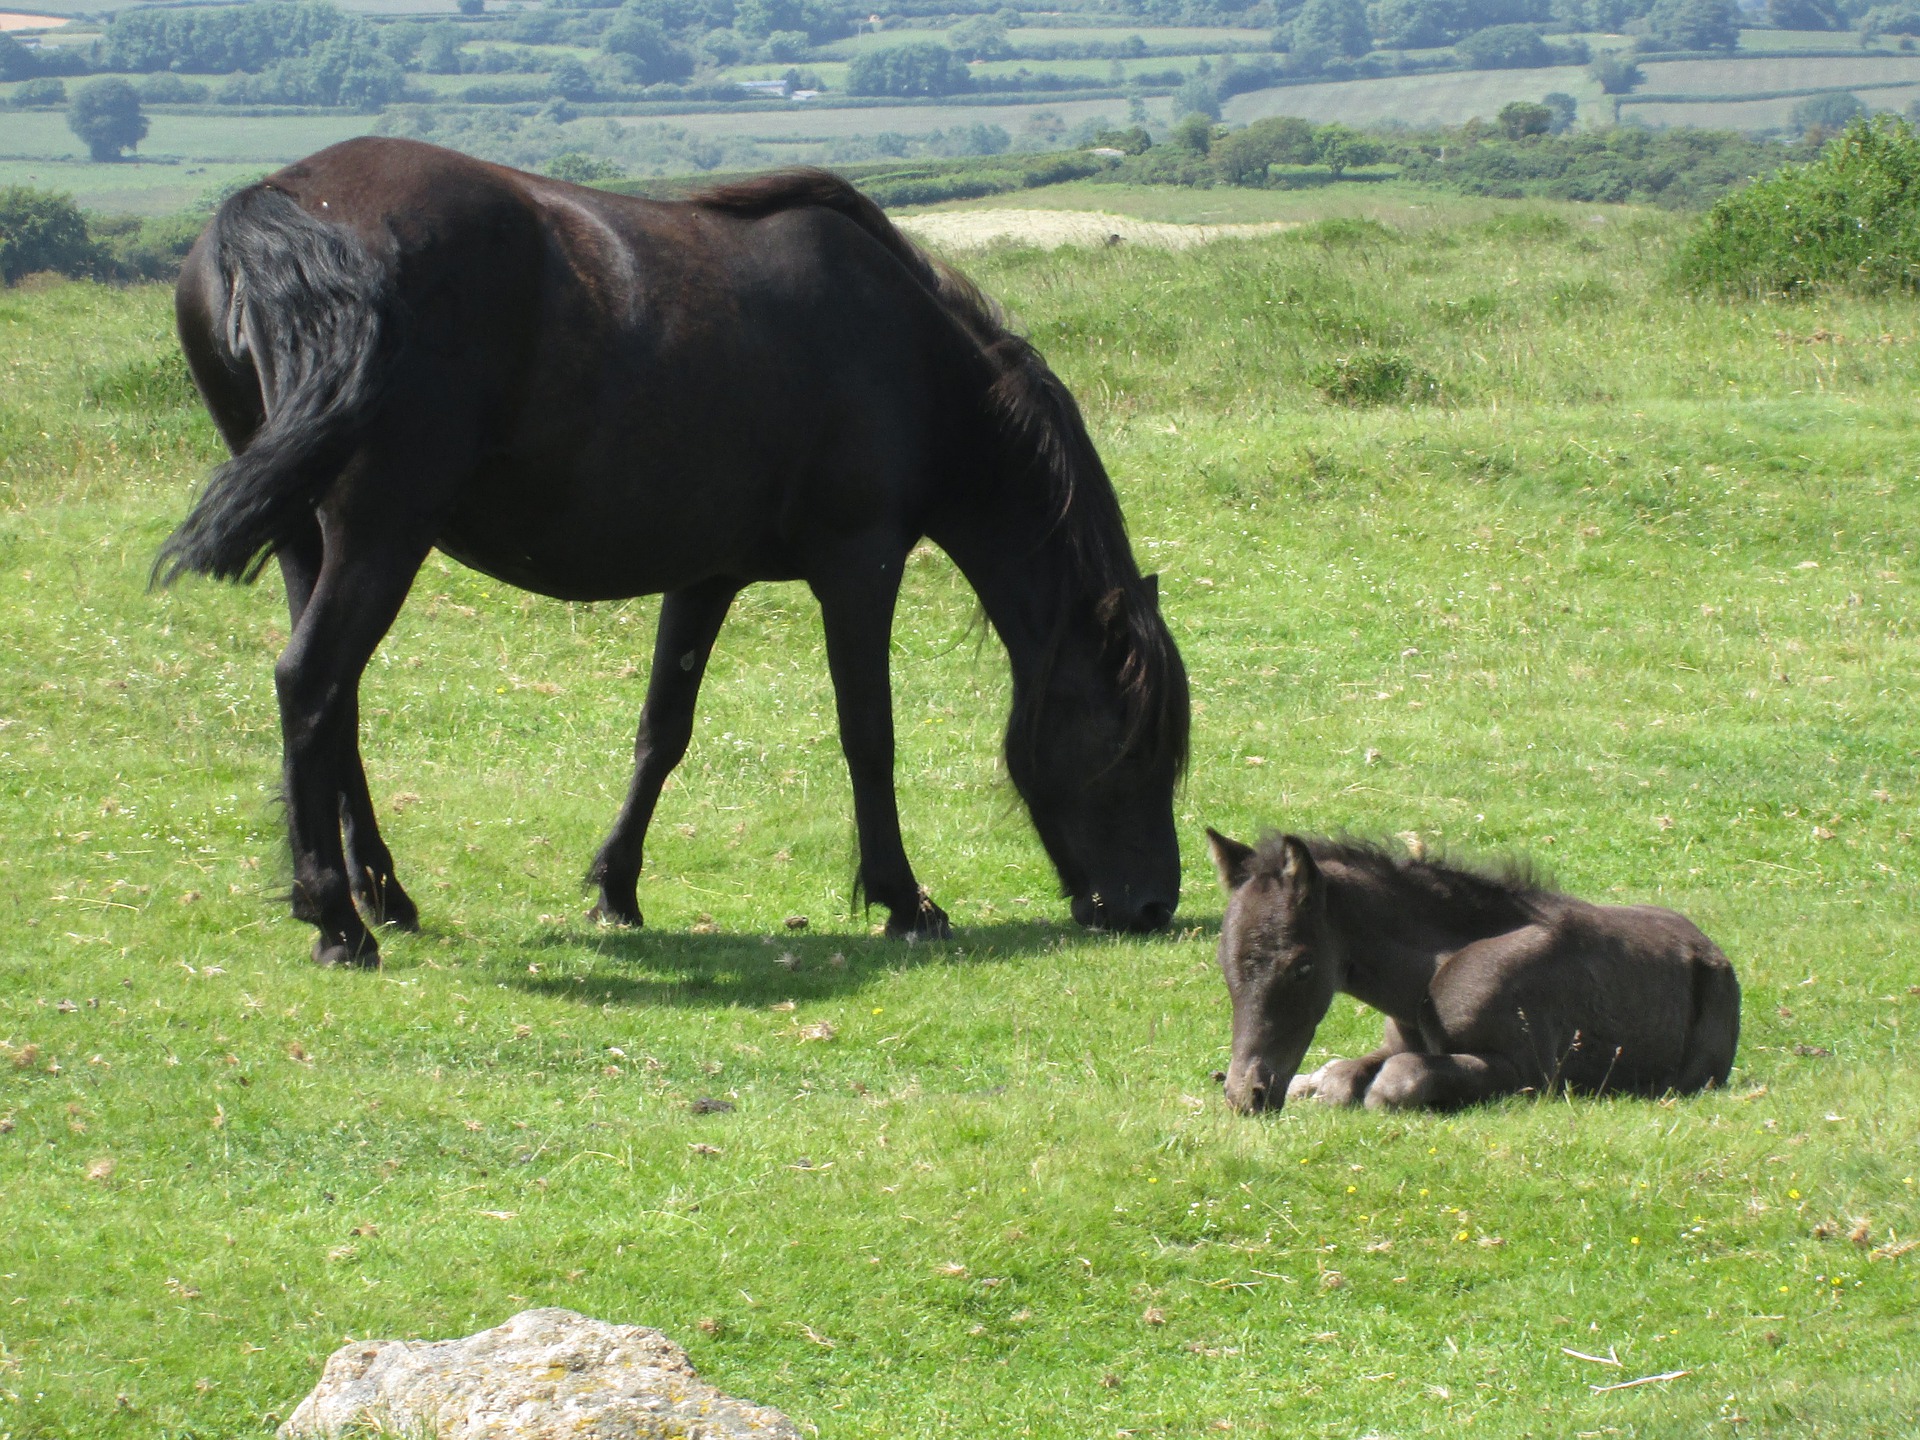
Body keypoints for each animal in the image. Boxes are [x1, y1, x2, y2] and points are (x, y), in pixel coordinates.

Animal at [155, 137, 1189, 968]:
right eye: (1132, 743)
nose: (1151, 906)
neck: (908, 354)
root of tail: (282, 203)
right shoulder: (859, 567)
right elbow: (869, 735)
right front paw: (904, 900)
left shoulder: (707, 577)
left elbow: (663, 732)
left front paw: (617, 888)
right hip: (380, 530)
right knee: (311, 682)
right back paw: (337, 920)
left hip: (309, 539)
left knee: (334, 706)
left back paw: (384, 896)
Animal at [1203, 830, 1739, 1113]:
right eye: (1223, 961)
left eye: (1302, 966)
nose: (1247, 1093)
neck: (1422, 981)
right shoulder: (1395, 1042)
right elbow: (1344, 1074)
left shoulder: (1530, 1071)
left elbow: (1395, 1081)